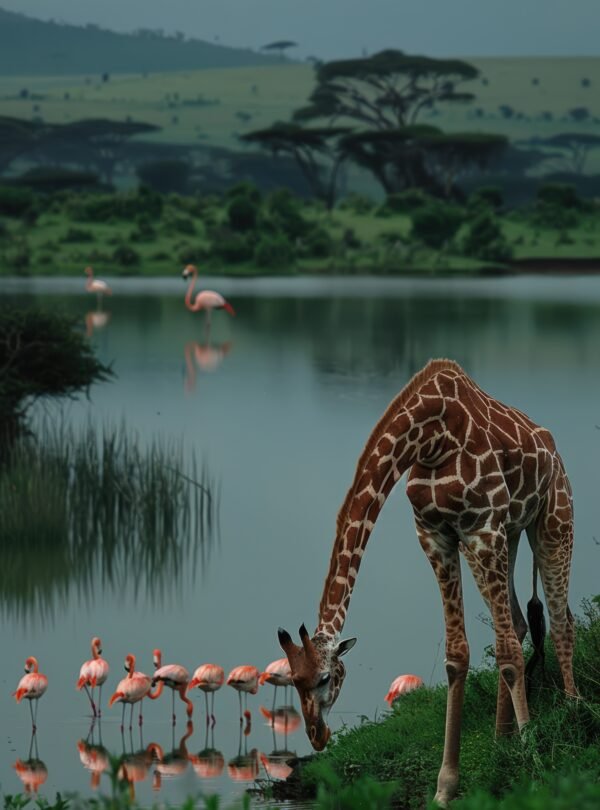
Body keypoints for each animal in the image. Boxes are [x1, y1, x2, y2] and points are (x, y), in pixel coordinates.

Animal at [278, 358, 576, 806]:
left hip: (552, 520)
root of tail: (553, 448)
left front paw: (534, 765)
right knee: (522, 622)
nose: (316, 736)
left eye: (327, 677)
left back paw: (575, 713)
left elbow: (506, 651)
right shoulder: (436, 536)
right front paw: (445, 788)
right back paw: (500, 739)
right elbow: (458, 655)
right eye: (293, 681)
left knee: (559, 623)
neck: (432, 438)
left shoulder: (480, 528)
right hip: (507, 535)